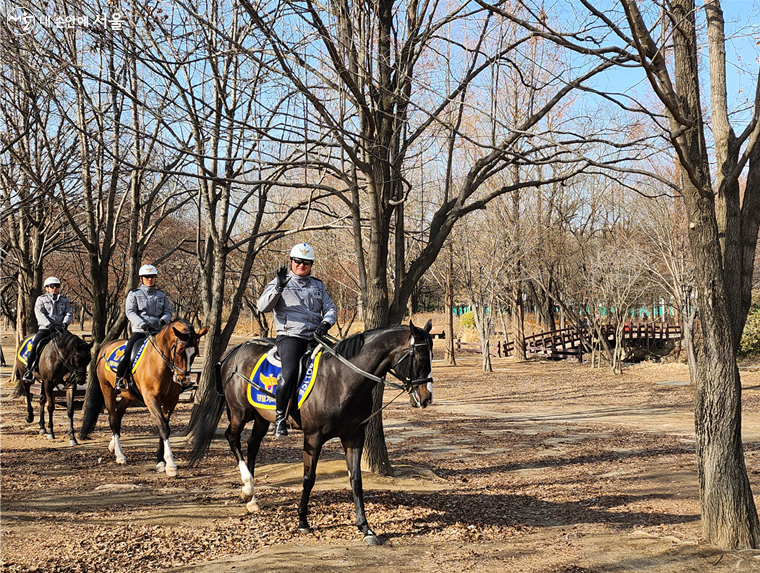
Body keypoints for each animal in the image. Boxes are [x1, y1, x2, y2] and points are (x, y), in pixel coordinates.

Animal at [79, 320, 208, 476]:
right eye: (179, 351)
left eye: (195, 353)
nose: (184, 380)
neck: (160, 363)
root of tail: (106, 346)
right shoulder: (151, 399)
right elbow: (163, 428)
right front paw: (171, 465)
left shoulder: (171, 402)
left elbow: (164, 427)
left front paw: (160, 461)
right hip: (107, 390)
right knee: (112, 418)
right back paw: (120, 455)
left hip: (128, 395)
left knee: (118, 415)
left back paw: (113, 445)